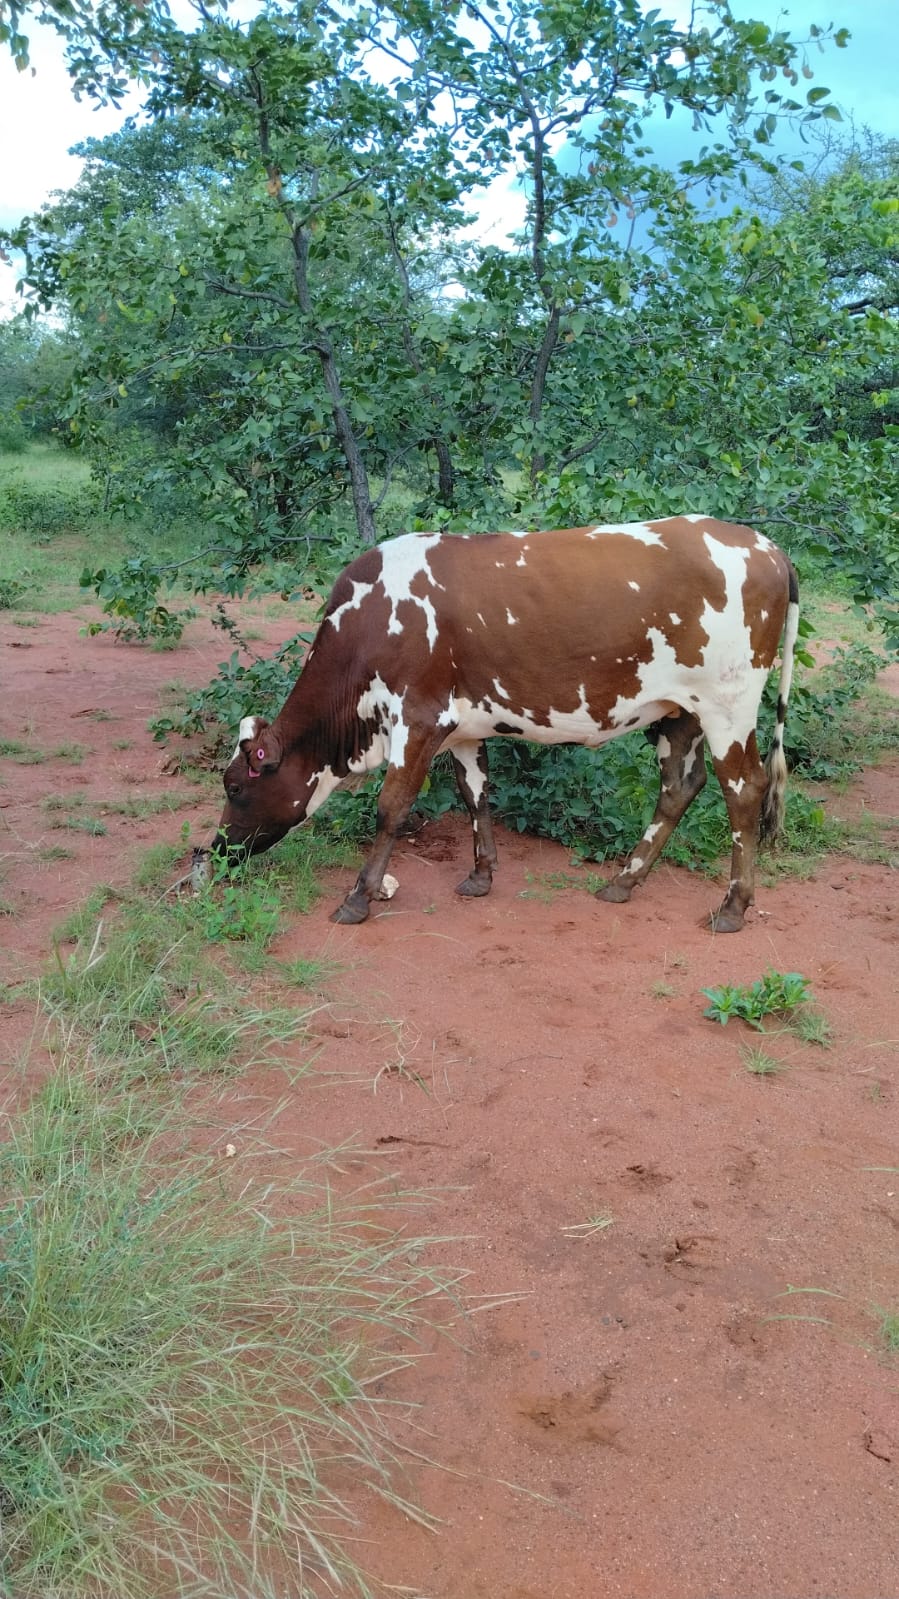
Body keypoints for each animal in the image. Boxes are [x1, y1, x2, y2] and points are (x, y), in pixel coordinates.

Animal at [211, 516, 799, 932]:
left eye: (235, 786)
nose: (216, 850)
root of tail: (765, 546)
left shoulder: (417, 717)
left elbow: (391, 807)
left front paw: (360, 897)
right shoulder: (463, 727)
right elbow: (475, 793)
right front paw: (480, 874)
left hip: (727, 706)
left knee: (744, 790)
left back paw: (734, 906)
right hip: (678, 711)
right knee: (680, 786)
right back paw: (624, 881)